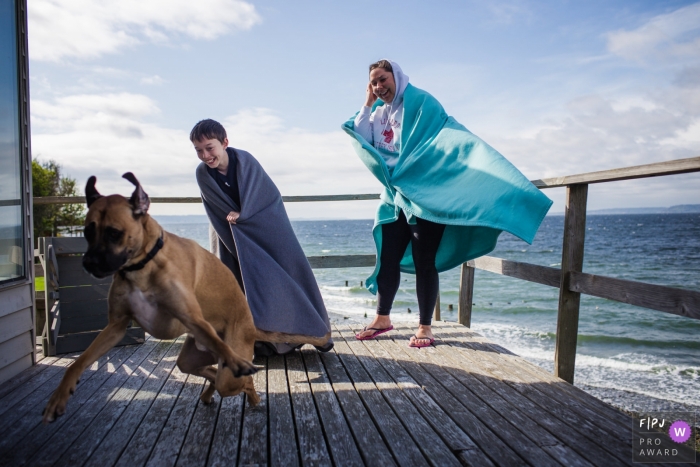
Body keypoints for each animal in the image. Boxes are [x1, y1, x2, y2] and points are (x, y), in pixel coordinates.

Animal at [41, 175, 330, 424]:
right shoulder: (115, 327)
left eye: (114, 232)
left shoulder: (192, 318)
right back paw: (210, 394)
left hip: (225, 360)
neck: (142, 265)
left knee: (236, 380)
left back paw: (252, 395)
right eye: (88, 231)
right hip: (192, 358)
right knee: (211, 374)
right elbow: (78, 361)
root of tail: (251, 326)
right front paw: (58, 397)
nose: (88, 263)